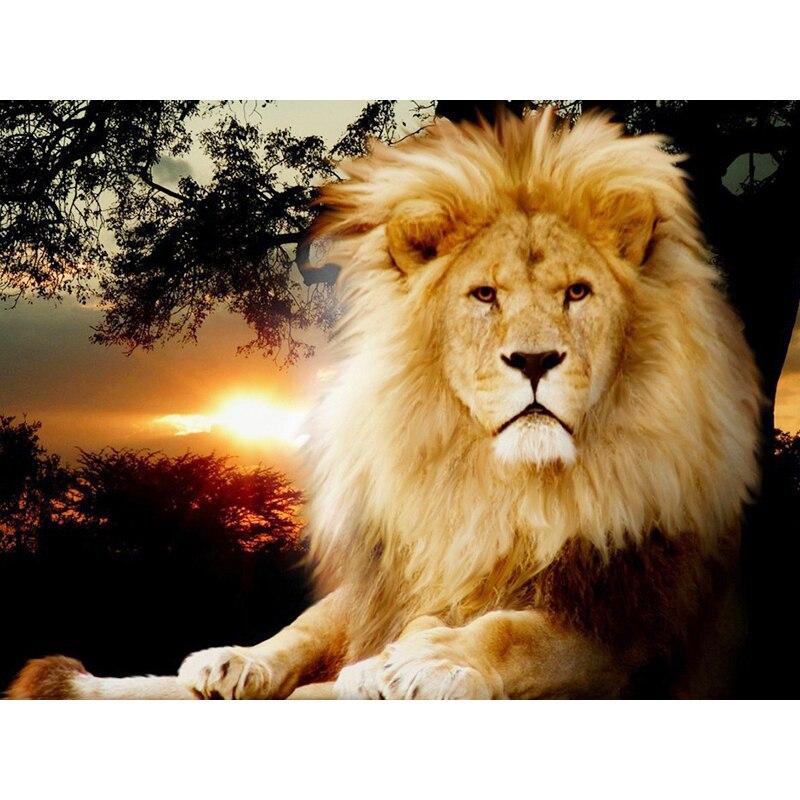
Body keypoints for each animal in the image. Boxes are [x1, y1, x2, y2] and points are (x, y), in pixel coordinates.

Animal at [9, 108, 762, 700]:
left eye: (578, 292)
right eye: (484, 295)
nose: (534, 361)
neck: (499, 487)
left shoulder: (638, 628)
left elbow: (516, 631)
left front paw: (427, 658)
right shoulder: (398, 568)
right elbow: (315, 622)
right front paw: (238, 659)